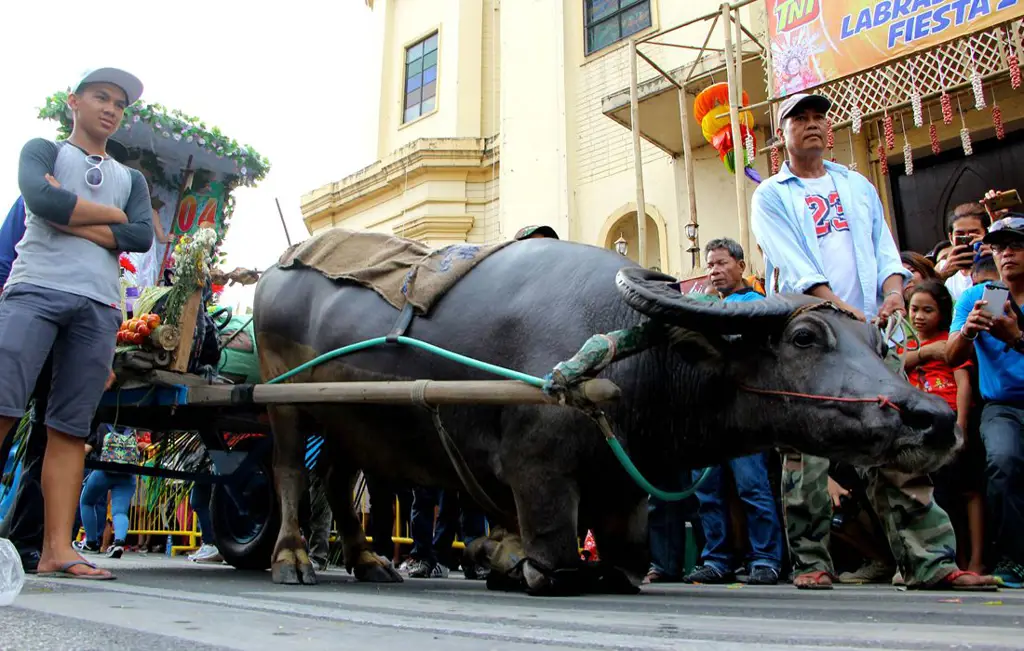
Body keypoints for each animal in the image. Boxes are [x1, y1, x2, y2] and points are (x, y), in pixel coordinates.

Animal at [251, 235, 954, 593]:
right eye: (805, 337)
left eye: (878, 343)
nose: (933, 417)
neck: (630, 354)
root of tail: (277, 269)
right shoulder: (537, 471)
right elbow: (557, 559)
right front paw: (499, 555)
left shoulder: (625, 487)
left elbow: (627, 558)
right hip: (282, 404)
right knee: (287, 474)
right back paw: (292, 559)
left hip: (350, 423)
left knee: (337, 482)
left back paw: (369, 562)